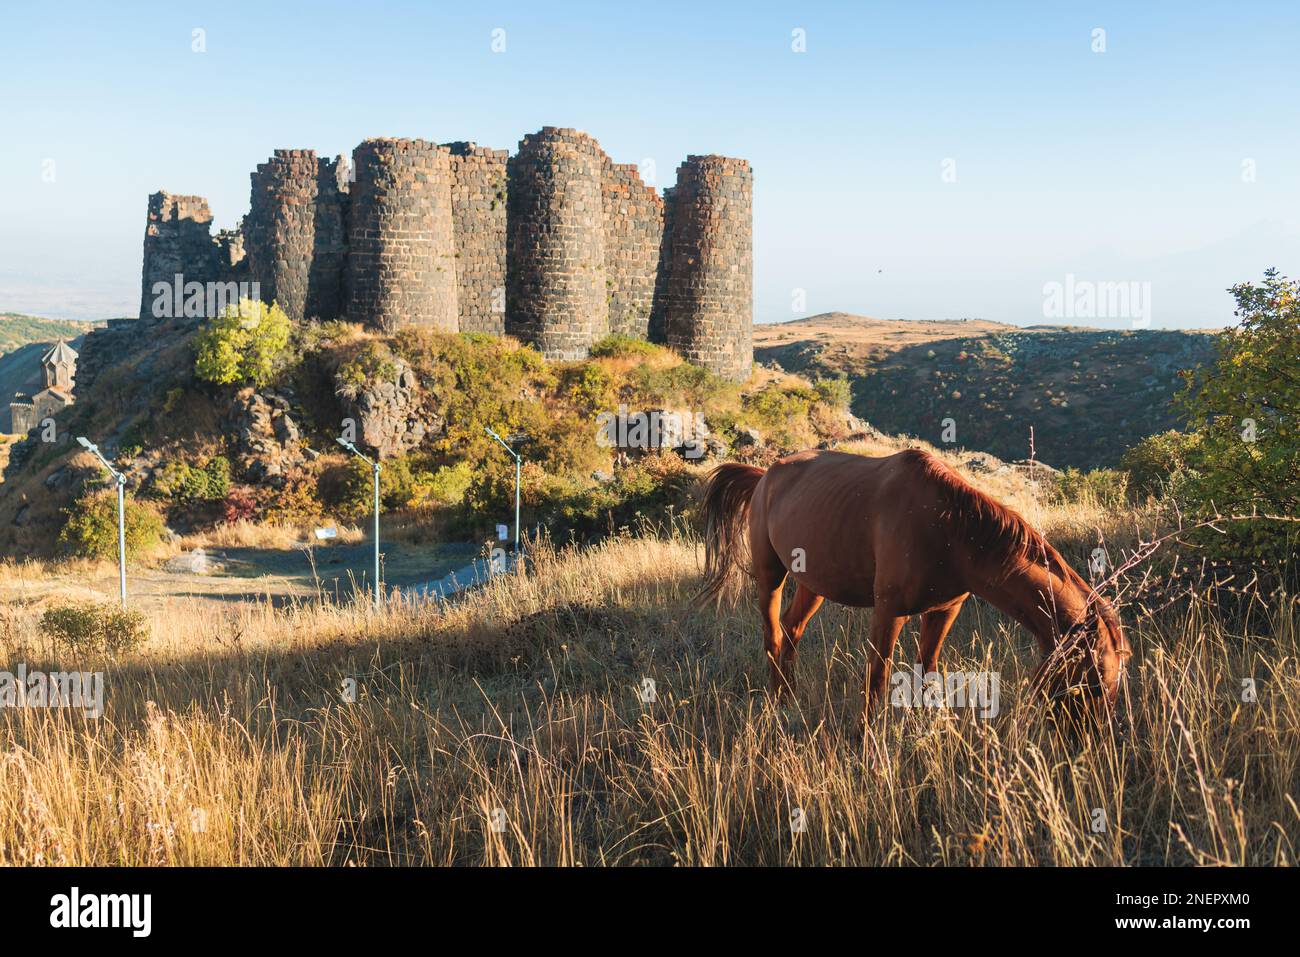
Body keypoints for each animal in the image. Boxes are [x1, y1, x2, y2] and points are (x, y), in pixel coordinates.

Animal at [696, 447, 1133, 717]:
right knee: (772, 635)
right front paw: (868, 746)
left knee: (792, 629)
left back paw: (789, 698)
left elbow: (928, 672)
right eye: (1094, 681)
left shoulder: (944, 611)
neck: (951, 530)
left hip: (813, 582)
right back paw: (777, 702)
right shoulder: (888, 613)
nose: (1090, 746)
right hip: (771, 574)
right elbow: (877, 679)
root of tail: (765, 475)